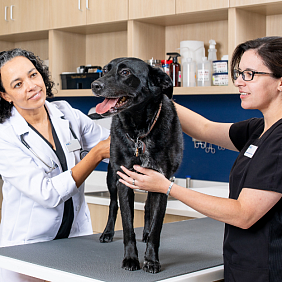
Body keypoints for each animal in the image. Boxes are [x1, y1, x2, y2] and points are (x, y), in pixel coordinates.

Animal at [90, 56, 183, 274]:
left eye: (125, 73)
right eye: (105, 70)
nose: (95, 85)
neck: (140, 132)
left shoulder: (161, 183)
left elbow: (156, 227)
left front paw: (151, 260)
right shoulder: (124, 182)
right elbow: (127, 227)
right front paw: (131, 259)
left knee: (148, 206)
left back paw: (146, 233)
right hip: (111, 178)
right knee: (112, 204)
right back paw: (107, 233)